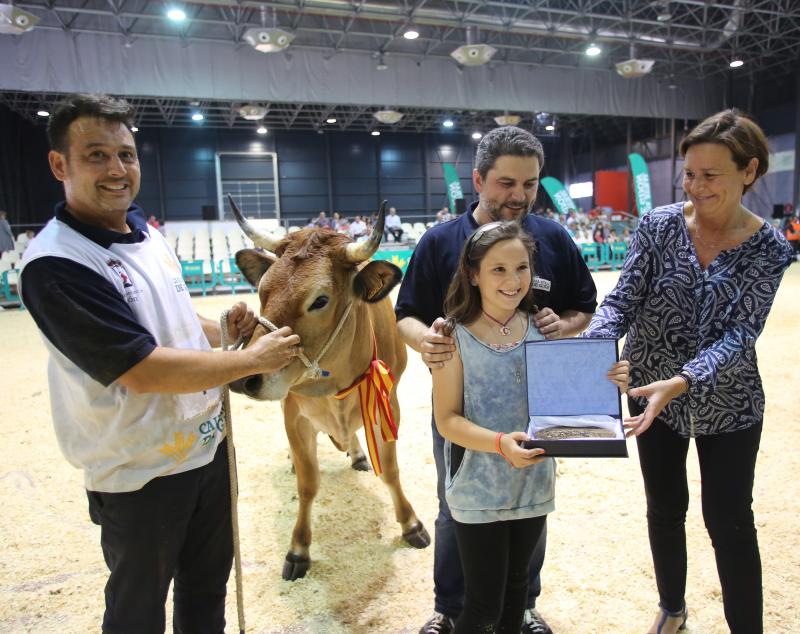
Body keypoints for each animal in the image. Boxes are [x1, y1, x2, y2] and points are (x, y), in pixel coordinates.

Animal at [230, 198, 432, 576]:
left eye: (319, 300)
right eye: (262, 291)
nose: (243, 376)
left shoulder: (388, 403)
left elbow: (391, 470)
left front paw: (411, 524)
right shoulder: (294, 414)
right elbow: (308, 483)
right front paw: (298, 549)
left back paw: (356, 452)